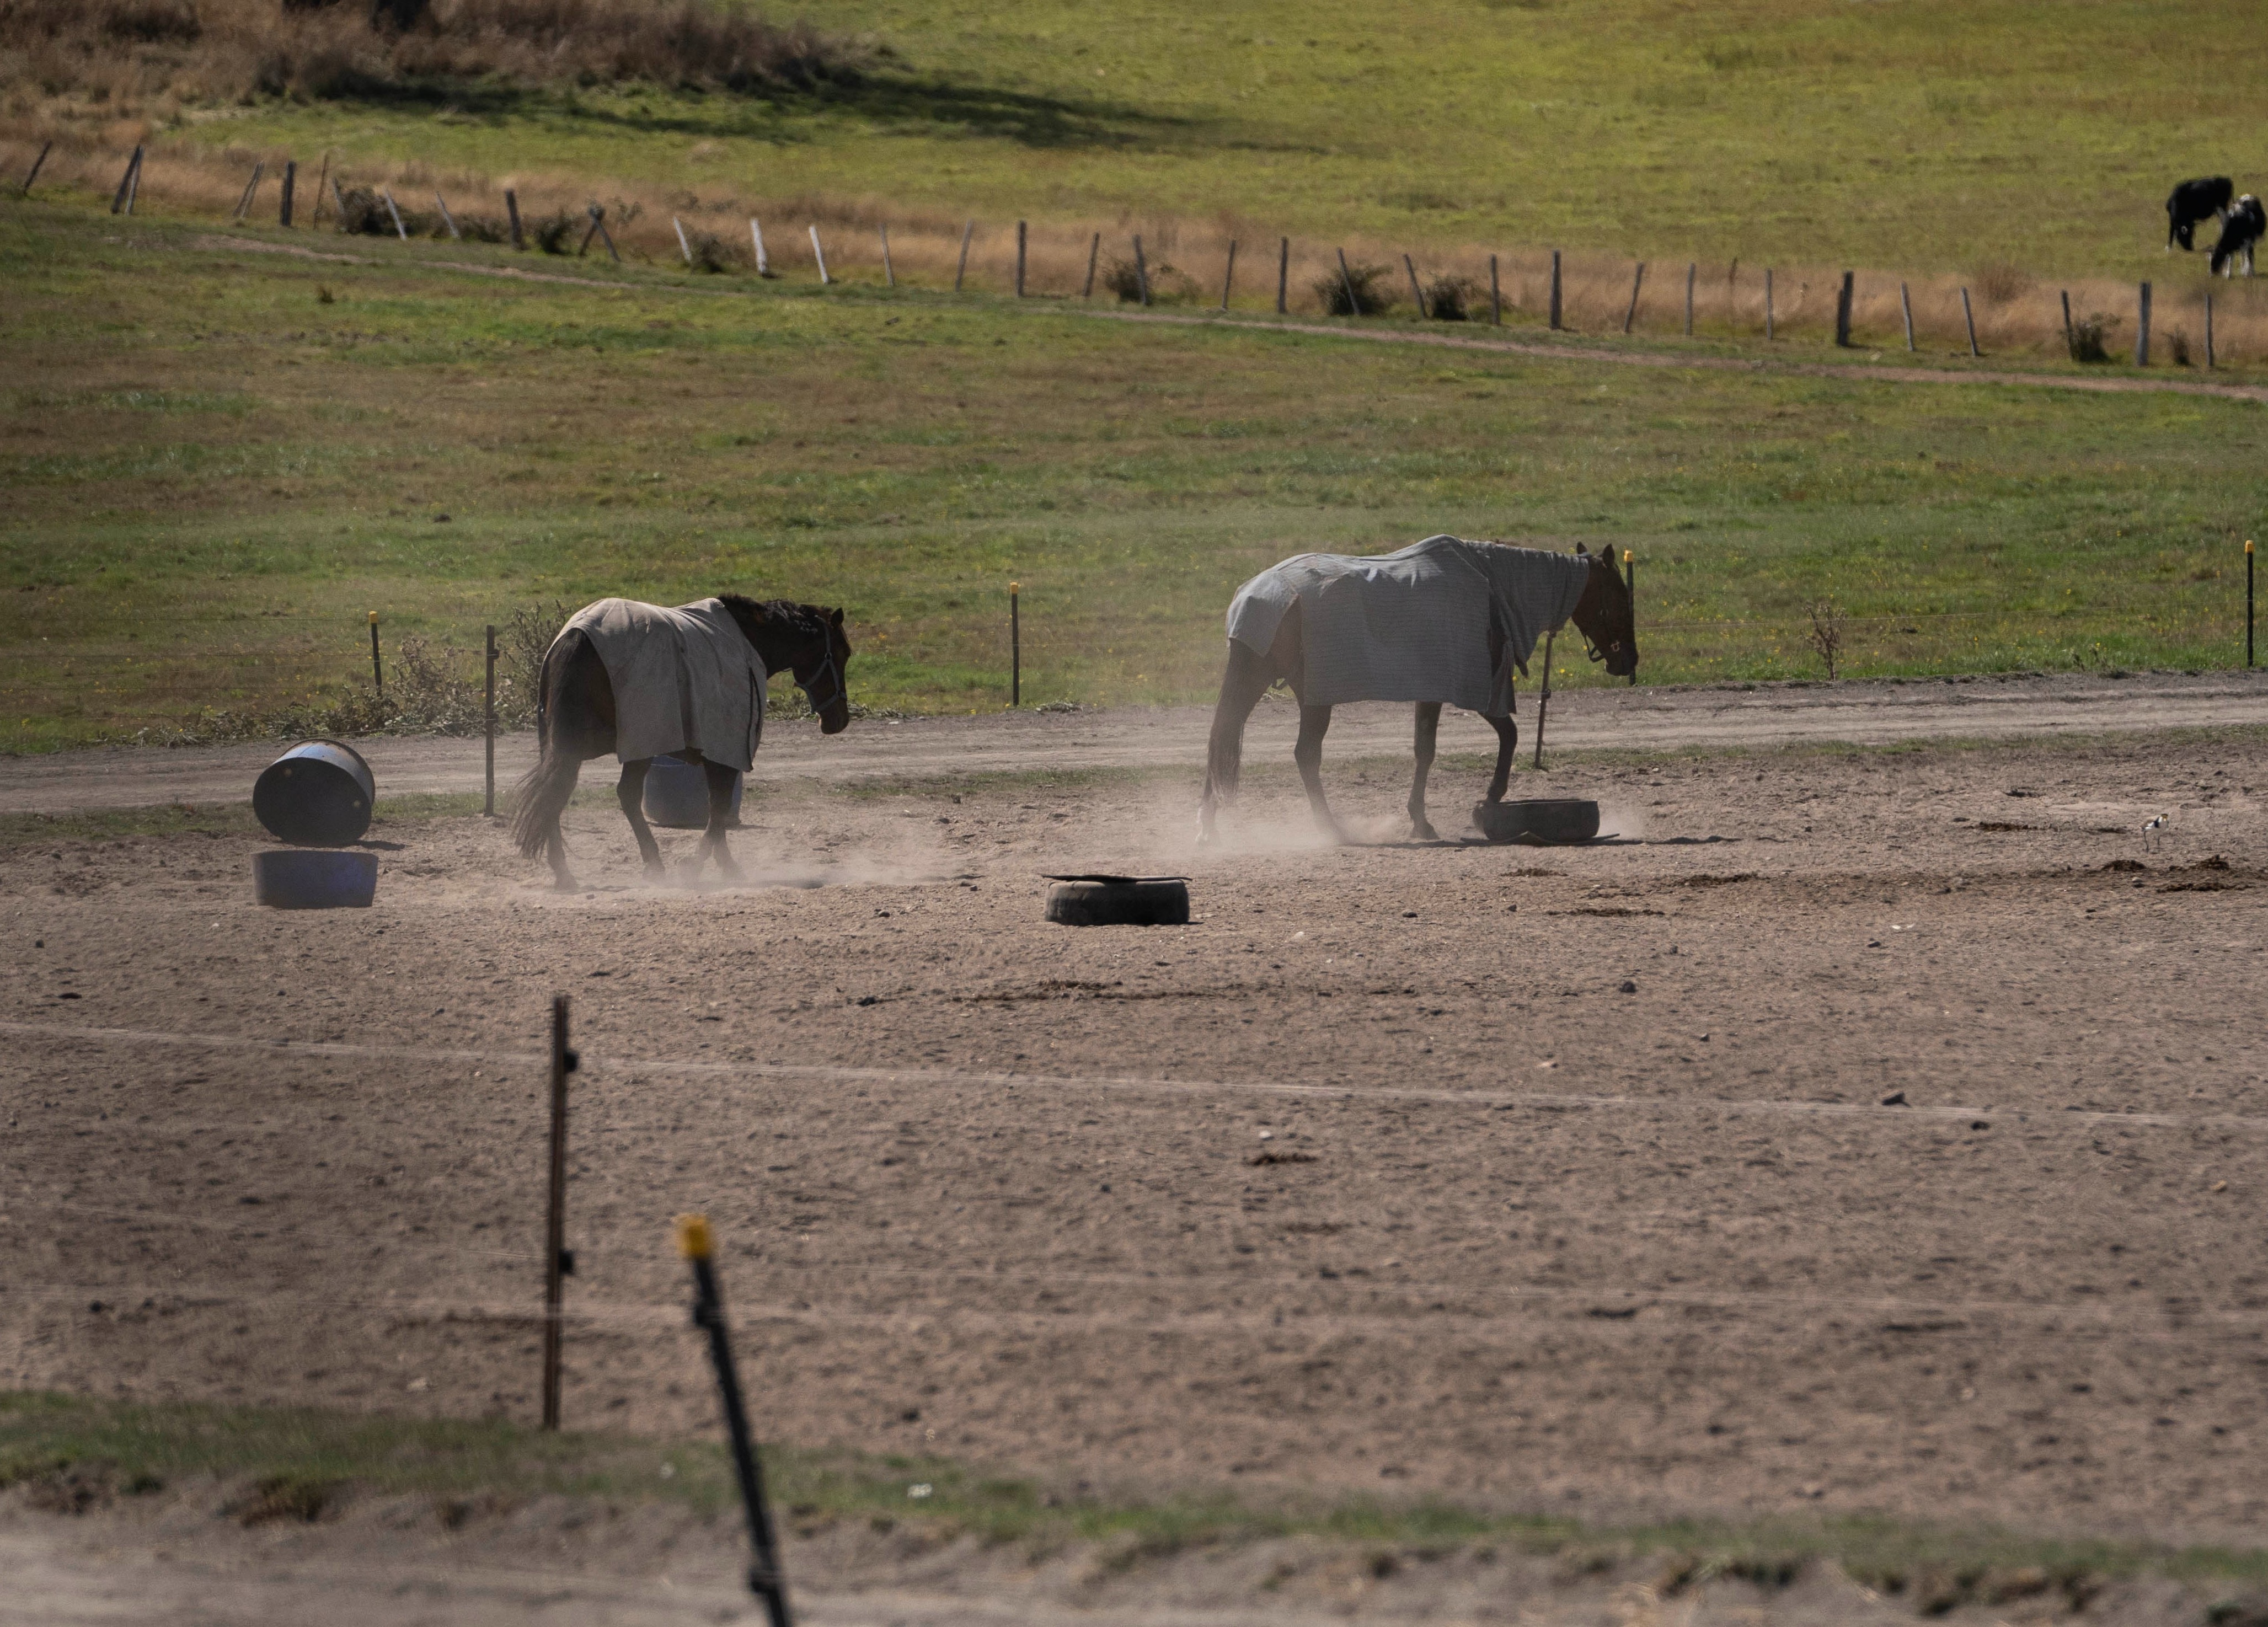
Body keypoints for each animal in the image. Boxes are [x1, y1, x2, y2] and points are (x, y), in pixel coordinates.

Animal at [509, 594, 851, 890]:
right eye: (844, 653)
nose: (840, 720)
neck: (746, 643)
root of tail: (577, 638)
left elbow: (718, 813)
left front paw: (724, 866)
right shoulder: (724, 752)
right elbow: (718, 811)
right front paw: (699, 866)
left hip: (567, 748)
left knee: (556, 796)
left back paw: (567, 873)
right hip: (636, 745)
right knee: (610, 796)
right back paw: (642, 865)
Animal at [1197, 539, 1636, 846]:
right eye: (1620, 597)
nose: (1629, 660)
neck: (1491, 587)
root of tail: (1259, 597)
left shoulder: (1436, 692)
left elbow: (1428, 748)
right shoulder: (1467, 689)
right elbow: (1492, 739)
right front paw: (1479, 803)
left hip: (1253, 682)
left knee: (1221, 742)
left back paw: (1208, 830)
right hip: (1314, 698)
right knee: (1304, 755)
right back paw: (1329, 827)